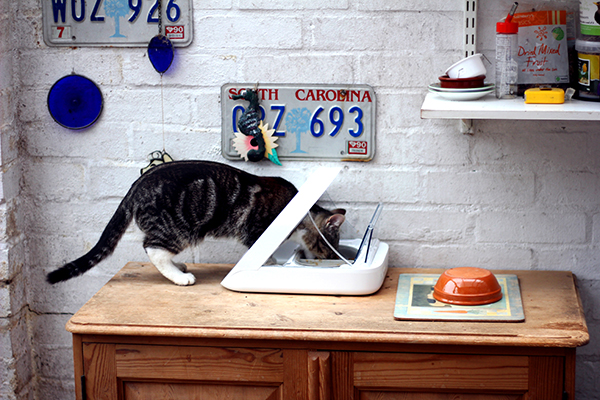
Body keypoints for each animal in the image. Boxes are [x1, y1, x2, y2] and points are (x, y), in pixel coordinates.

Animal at [45, 161, 346, 286]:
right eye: (329, 249)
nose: (331, 259)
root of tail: (135, 188)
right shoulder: (255, 230)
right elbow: (261, 252)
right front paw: (269, 263)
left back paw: (177, 267)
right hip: (177, 229)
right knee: (153, 249)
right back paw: (179, 277)